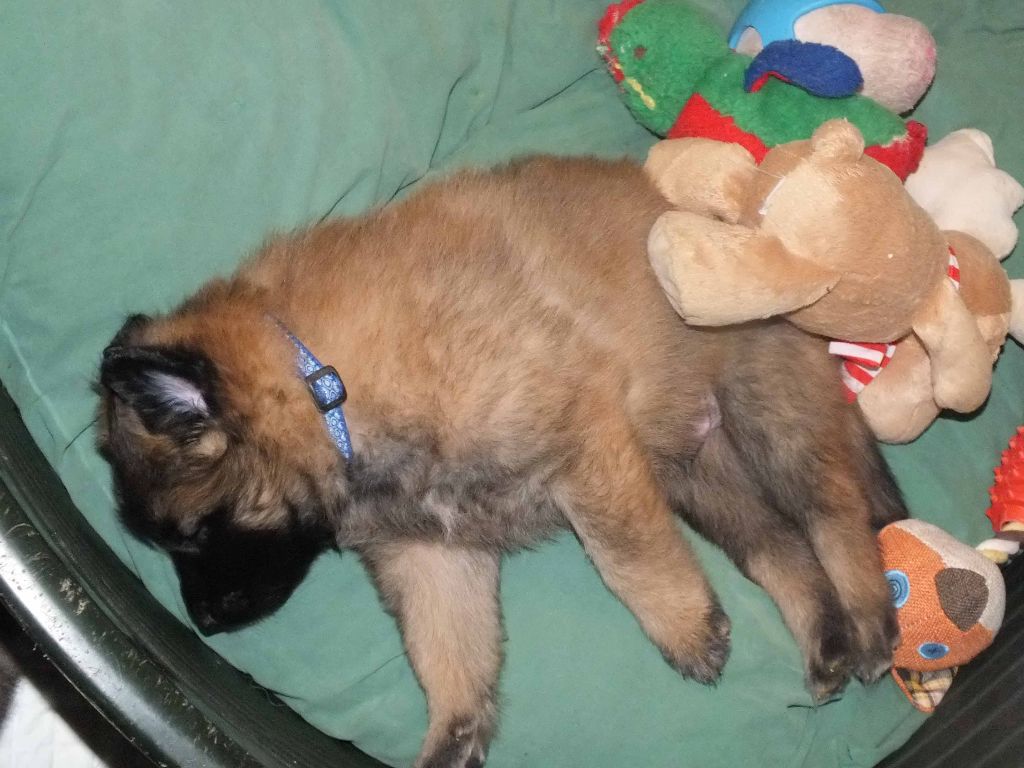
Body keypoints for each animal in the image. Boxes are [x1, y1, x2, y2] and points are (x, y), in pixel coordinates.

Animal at [97, 155, 906, 768]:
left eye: (196, 533)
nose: (202, 622)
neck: (325, 386)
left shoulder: (582, 442)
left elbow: (625, 553)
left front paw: (683, 629)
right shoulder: (431, 555)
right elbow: (448, 655)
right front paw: (450, 743)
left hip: (769, 418)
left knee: (834, 517)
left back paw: (868, 626)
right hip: (698, 472)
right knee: (779, 546)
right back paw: (827, 639)